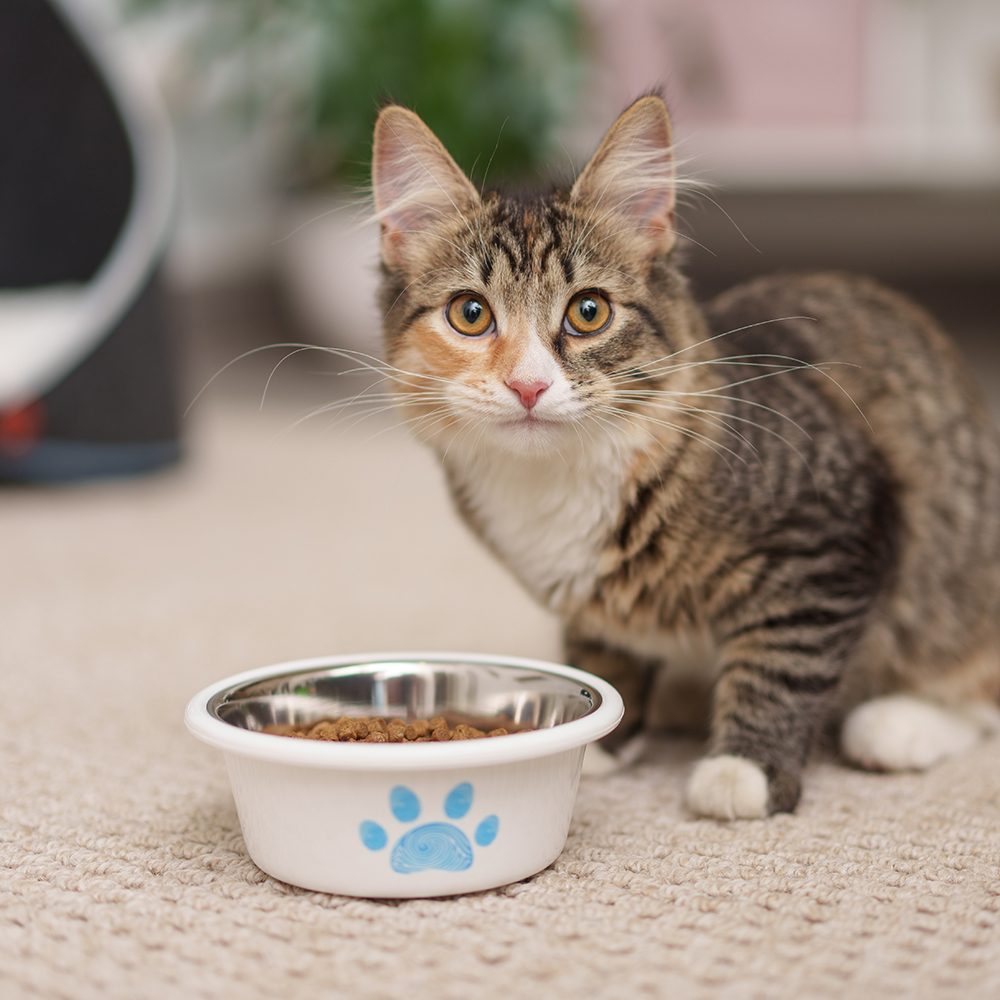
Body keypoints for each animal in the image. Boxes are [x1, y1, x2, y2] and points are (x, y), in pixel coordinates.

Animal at [369, 94, 1000, 819]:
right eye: (470, 314)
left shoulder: (828, 535)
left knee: (975, 690)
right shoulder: (589, 610)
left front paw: (744, 769)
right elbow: (603, 652)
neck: (556, 482)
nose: (528, 386)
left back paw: (897, 725)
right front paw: (607, 730)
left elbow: (781, 660)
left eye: (589, 311)